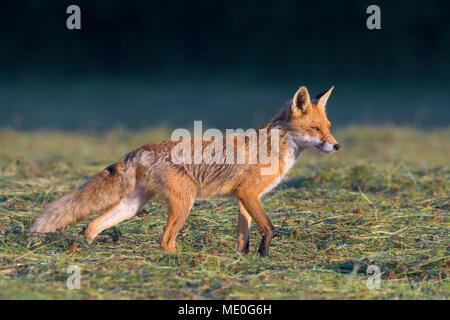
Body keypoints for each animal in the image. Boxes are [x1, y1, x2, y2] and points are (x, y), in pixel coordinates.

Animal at [29, 85, 340, 255]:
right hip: (184, 202)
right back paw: (178, 261)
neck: (276, 147)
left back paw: (88, 252)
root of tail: (141, 148)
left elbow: (244, 235)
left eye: (328, 127)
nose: (337, 146)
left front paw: (243, 259)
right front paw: (264, 254)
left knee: (92, 225)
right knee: (165, 241)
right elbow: (269, 228)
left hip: (132, 206)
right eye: (315, 128)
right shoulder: (249, 193)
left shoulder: (244, 198)